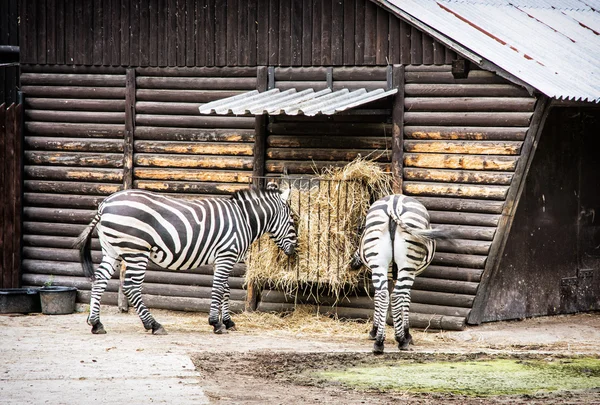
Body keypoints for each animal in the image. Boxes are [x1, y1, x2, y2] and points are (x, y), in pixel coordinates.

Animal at [72, 185, 298, 332]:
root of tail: (105, 204)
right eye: (293, 220)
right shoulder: (227, 255)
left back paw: (96, 323)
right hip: (137, 250)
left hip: (112, 249)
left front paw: (228, 322)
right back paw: (153, 325)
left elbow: (225, 290)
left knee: (100, 281)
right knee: (131, 286)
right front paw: (216, 323)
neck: (244, 219)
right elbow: (218, 289)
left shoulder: (220, 259)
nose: (295, 251)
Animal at [350, 194, 458, 352]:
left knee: (383, 296)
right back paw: (401, 340)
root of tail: (394, 204)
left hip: (379, 262)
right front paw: (406, 334)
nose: (352, 265)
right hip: (408, 265)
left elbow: (380, 298)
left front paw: (375, 331)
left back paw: (379, 342)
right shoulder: (411, 273)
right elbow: (406, 299)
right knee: (395, 297)